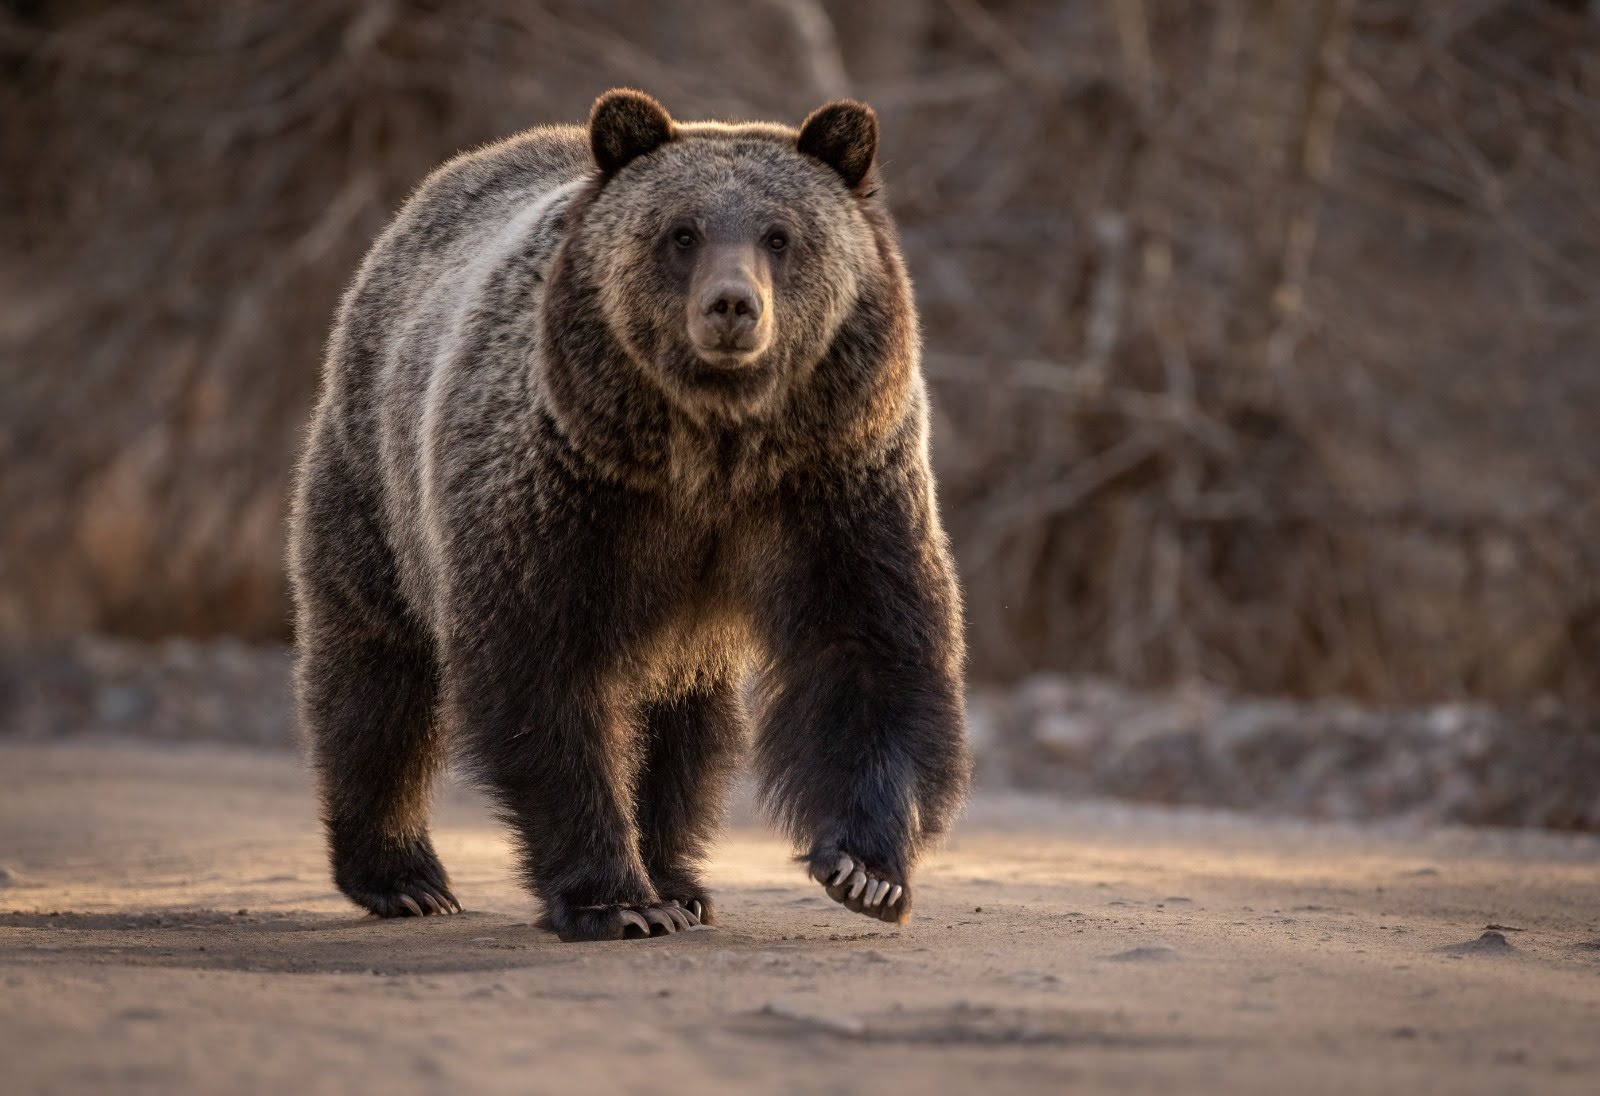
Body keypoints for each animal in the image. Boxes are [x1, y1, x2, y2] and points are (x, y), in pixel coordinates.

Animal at [286, 87, 960, 940]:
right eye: (682, 232)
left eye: (779, 235)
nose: (732, 306)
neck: (712, 448)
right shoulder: (566, 490)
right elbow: (546, 672)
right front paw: (615, 899)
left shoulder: (834, 480)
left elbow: (868, 644)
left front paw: (864, 870)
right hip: (375, 477)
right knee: (376, 671)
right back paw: (403, 876)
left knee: (687, 725)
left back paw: (681, 879)